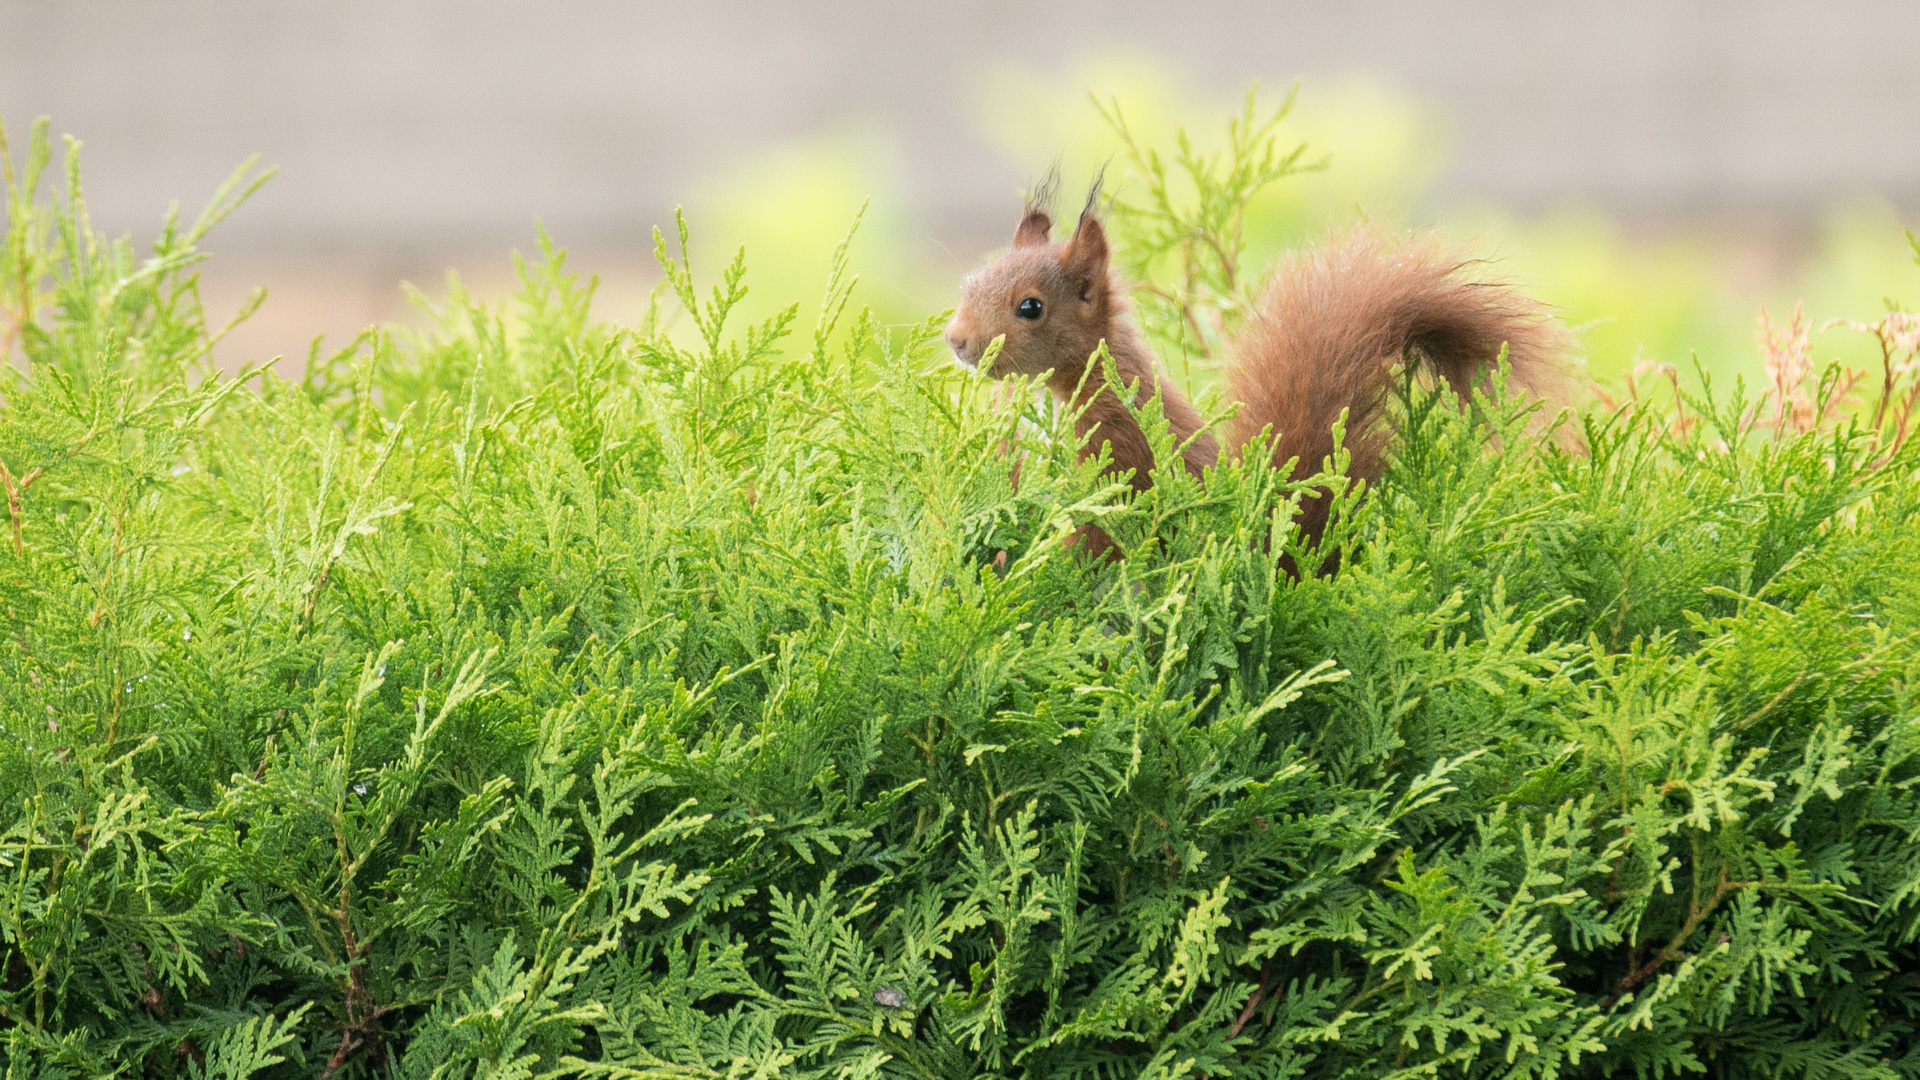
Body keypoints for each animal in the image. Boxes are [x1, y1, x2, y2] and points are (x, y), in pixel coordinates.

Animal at [940, 193, 1559, 553]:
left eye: (1031, 307)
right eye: (970, 280)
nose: (956, 340)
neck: (1051, 393)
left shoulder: (1116, 451)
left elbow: (1094, 527)